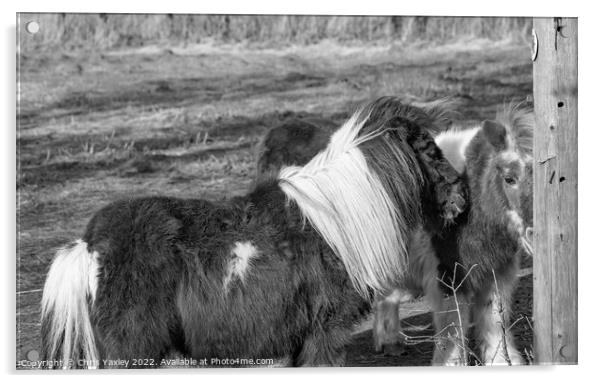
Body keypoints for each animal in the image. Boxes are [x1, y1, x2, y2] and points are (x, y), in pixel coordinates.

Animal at [41, 97, 464, 368]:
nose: (461, 196)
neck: (337, 220)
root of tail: (89, 245)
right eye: (430, 150)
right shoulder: (325, 332)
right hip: (132, 349)